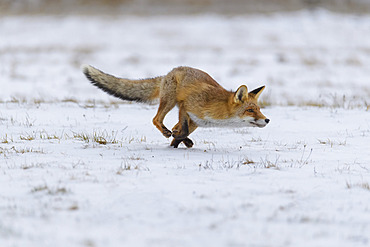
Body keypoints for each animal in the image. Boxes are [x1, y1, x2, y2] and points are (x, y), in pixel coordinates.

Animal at [82, 64, 270, 148]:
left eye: (259, 109)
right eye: (250, 110)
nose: (267, 120)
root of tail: (170, 71)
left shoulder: (197, 120)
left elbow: (181, 131)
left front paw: (178, 142)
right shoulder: (186, 106)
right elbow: (183, 130)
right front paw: (180, 140)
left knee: (170, 125)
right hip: (170, 101)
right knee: (156, 119)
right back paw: (168, 133)